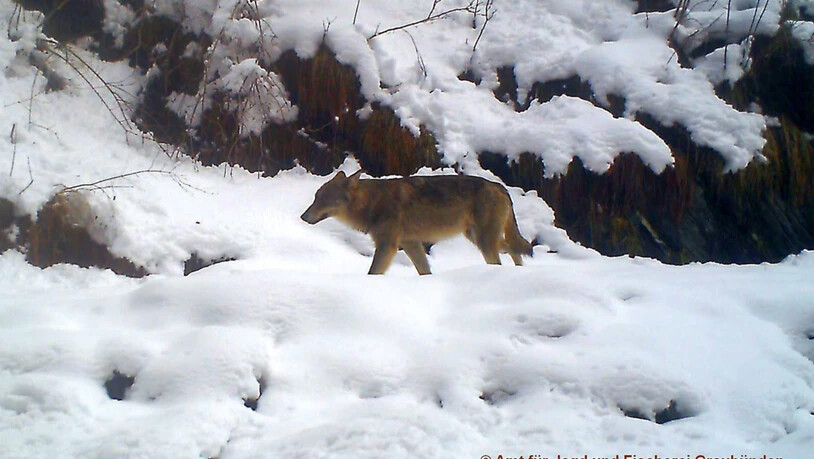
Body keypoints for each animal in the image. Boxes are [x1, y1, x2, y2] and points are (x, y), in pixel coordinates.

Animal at [300, 170, 533, 275]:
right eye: (315, 197)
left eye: (322, 199)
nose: (303, 217)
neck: (373, 202)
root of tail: (499, 186)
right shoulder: (411, 244)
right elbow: (425, 271)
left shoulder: (388, 246)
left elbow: (373, 272)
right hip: (478, 238)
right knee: (515, 248)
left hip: (484, 242)